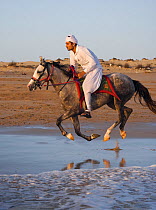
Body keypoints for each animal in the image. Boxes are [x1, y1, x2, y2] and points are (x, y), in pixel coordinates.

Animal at [27, 57, 156, 142]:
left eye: (39, 71)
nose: (29, 86)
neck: (68, 86)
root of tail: (131, 80)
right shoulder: (73, 114)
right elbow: (77, 131)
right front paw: (90, 136)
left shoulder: (73, 111)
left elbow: (58, 121)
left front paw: (67, 134)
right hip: (112, 103)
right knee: (128, 111)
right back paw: (122, 132)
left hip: (118, 102)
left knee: (120, 117)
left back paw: (107, 134)